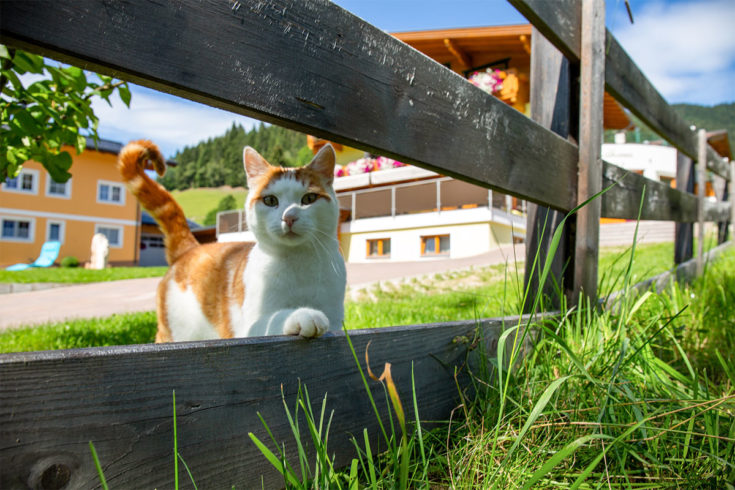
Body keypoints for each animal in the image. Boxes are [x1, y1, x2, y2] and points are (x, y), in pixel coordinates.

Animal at [118, 140, 348, 342]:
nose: (289, 217)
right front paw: (303, 314)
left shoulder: (337, 319)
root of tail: (190, 248)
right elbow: (275, 317)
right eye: (270, 200)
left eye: (309, 199)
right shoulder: (248, 328)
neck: (299, 263)